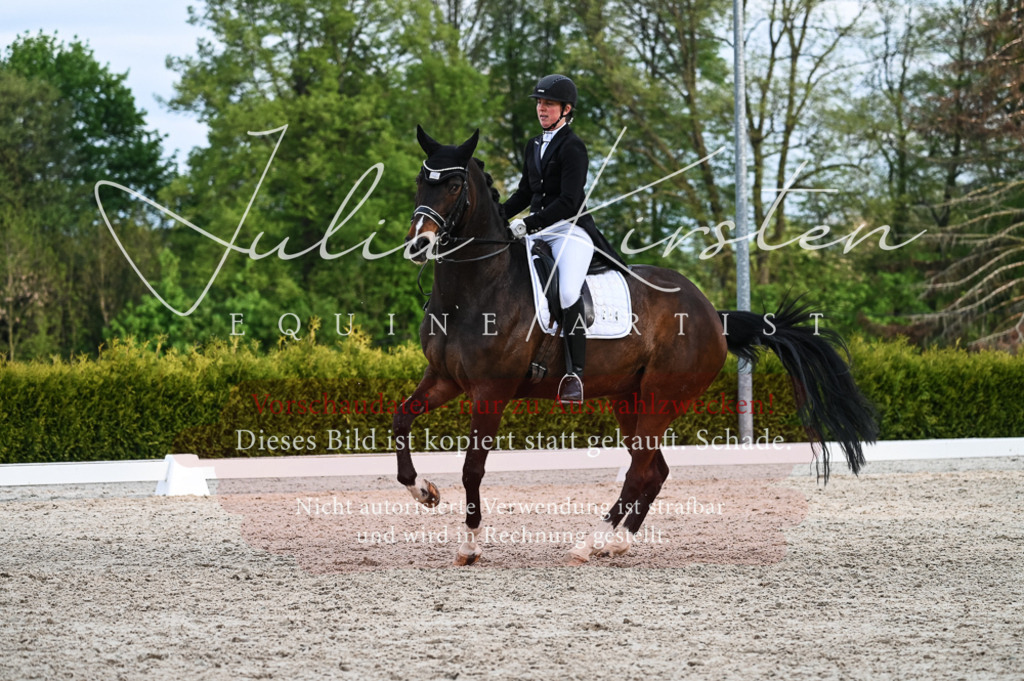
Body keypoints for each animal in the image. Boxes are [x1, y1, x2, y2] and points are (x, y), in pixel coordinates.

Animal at [393, 126, 878, 565]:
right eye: (420, 179)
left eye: (454, 185)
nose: (418, 244)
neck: (477, 287)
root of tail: (711, 314)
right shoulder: (445, 378)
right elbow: (401, 419)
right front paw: (423, 491)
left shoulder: (491, 391)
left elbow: (472, 467)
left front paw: (470, 545)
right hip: (630, 397)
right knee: (653, 468)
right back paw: (617, 542)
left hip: (664, 396)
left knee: (642, 467)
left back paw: (591, 542)